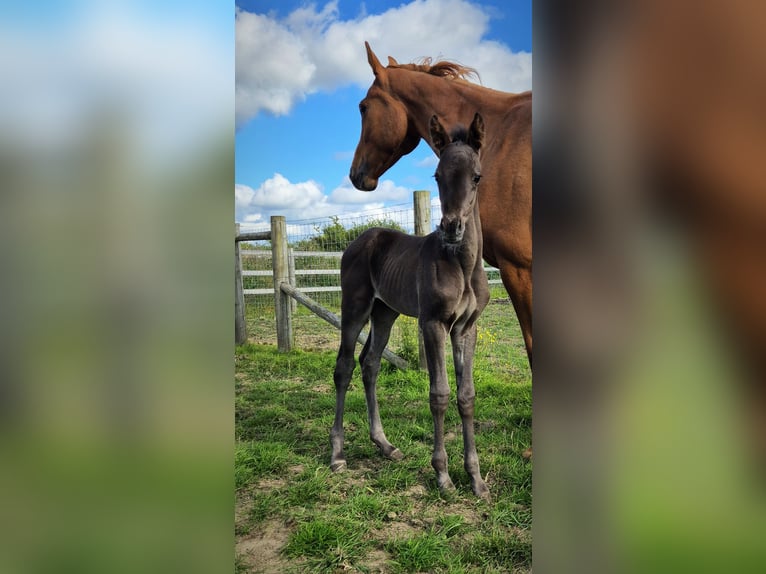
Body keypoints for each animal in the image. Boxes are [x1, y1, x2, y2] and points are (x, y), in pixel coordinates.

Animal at [332, 113, 492, 500]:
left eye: (476, 177)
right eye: (436, 175)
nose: (451, 228)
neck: (462, 264)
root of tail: (361, 239)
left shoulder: (466, 328)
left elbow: (466, 396)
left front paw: (476, 480)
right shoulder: (432, 323)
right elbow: (440, 394)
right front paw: (443, 476)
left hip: (385, 313)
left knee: (370, 364)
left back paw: (385, 445)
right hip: (355, 308)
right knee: (344, 367)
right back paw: (337, 455)